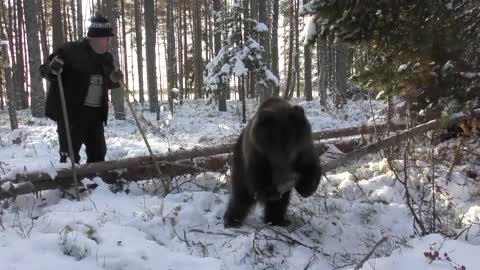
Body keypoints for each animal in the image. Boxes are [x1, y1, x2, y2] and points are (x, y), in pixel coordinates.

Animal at [223, 97, 320, 228]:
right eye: (273, 154)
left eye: (292, 152)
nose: (285, 181)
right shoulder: (257, 153)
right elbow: (258, 178)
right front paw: (270, 192)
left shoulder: (303, 148)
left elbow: (310, 166)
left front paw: (306, 188)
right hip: (240, 161)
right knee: (240, 195)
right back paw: (232, 220)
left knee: (281, 202)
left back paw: (278, 220)